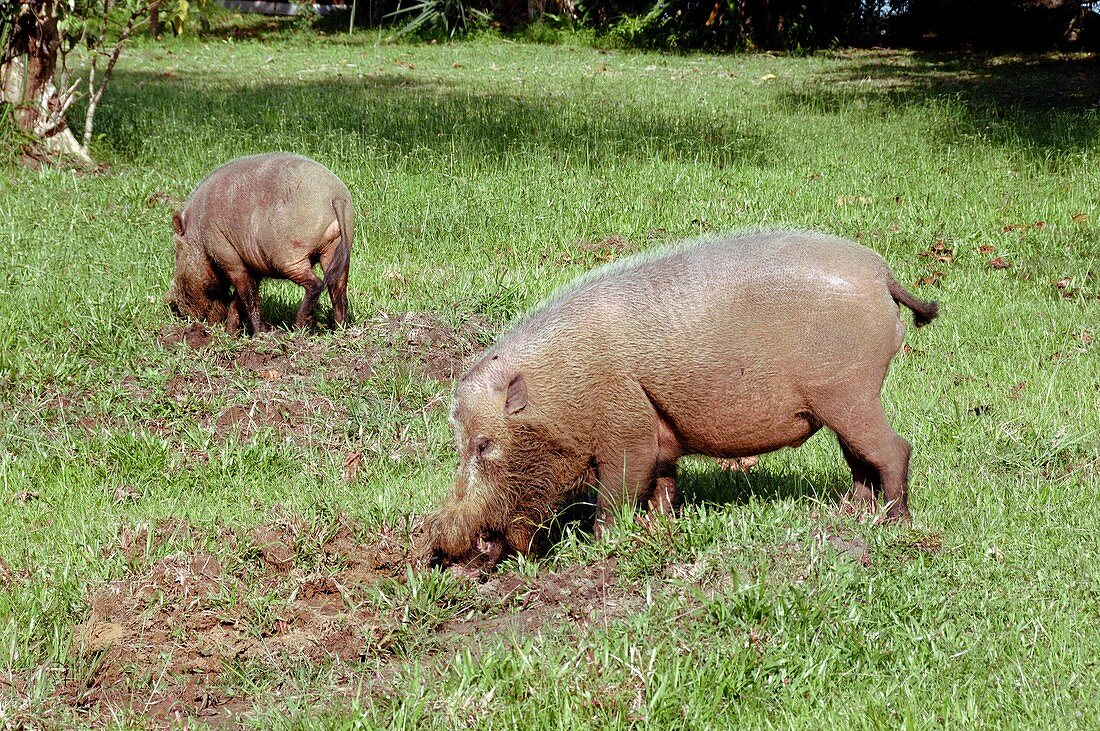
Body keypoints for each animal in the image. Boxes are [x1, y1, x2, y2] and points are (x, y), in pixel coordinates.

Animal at [424, 228, 941, 571]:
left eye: (484, 445)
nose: (445, 549)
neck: (562, 394)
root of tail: (882, 275)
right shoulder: (661, 438)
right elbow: (663, 488)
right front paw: (661, 529)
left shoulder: (628, 431)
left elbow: (617, 495)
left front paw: (601, 545)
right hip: (842, 404)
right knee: (860, 461)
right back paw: (848, 514)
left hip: (851, 394)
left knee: (895, 449)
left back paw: (893, 525)